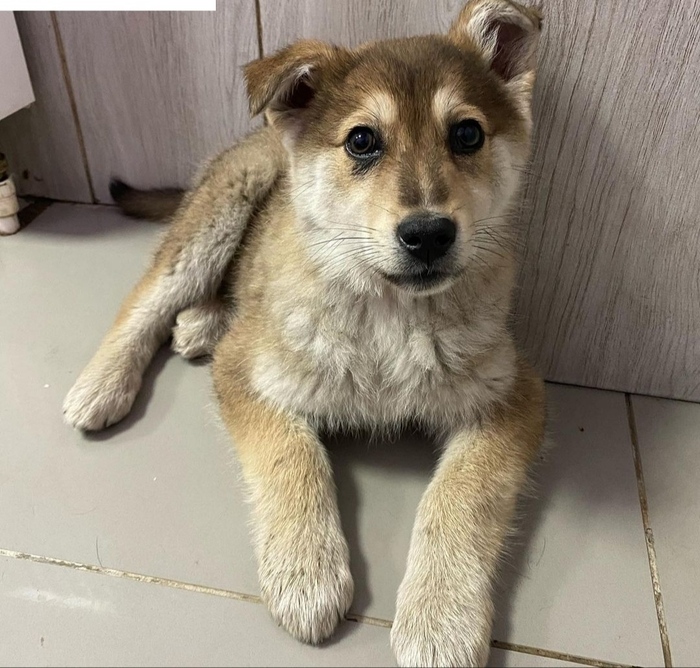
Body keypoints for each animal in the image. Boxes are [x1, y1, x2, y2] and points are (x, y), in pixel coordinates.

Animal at [63, 1, 545, 665]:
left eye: (467, 134)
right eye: (362, 140)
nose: (428, 234)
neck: (388, 317)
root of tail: (261, 133)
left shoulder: (512, 393)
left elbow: (462, 495)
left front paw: (441, 616)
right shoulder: (246, 369)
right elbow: (292, 454)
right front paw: (306, 573)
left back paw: (201, 322)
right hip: (217, 217)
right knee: (149, 297)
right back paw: (106, 380)